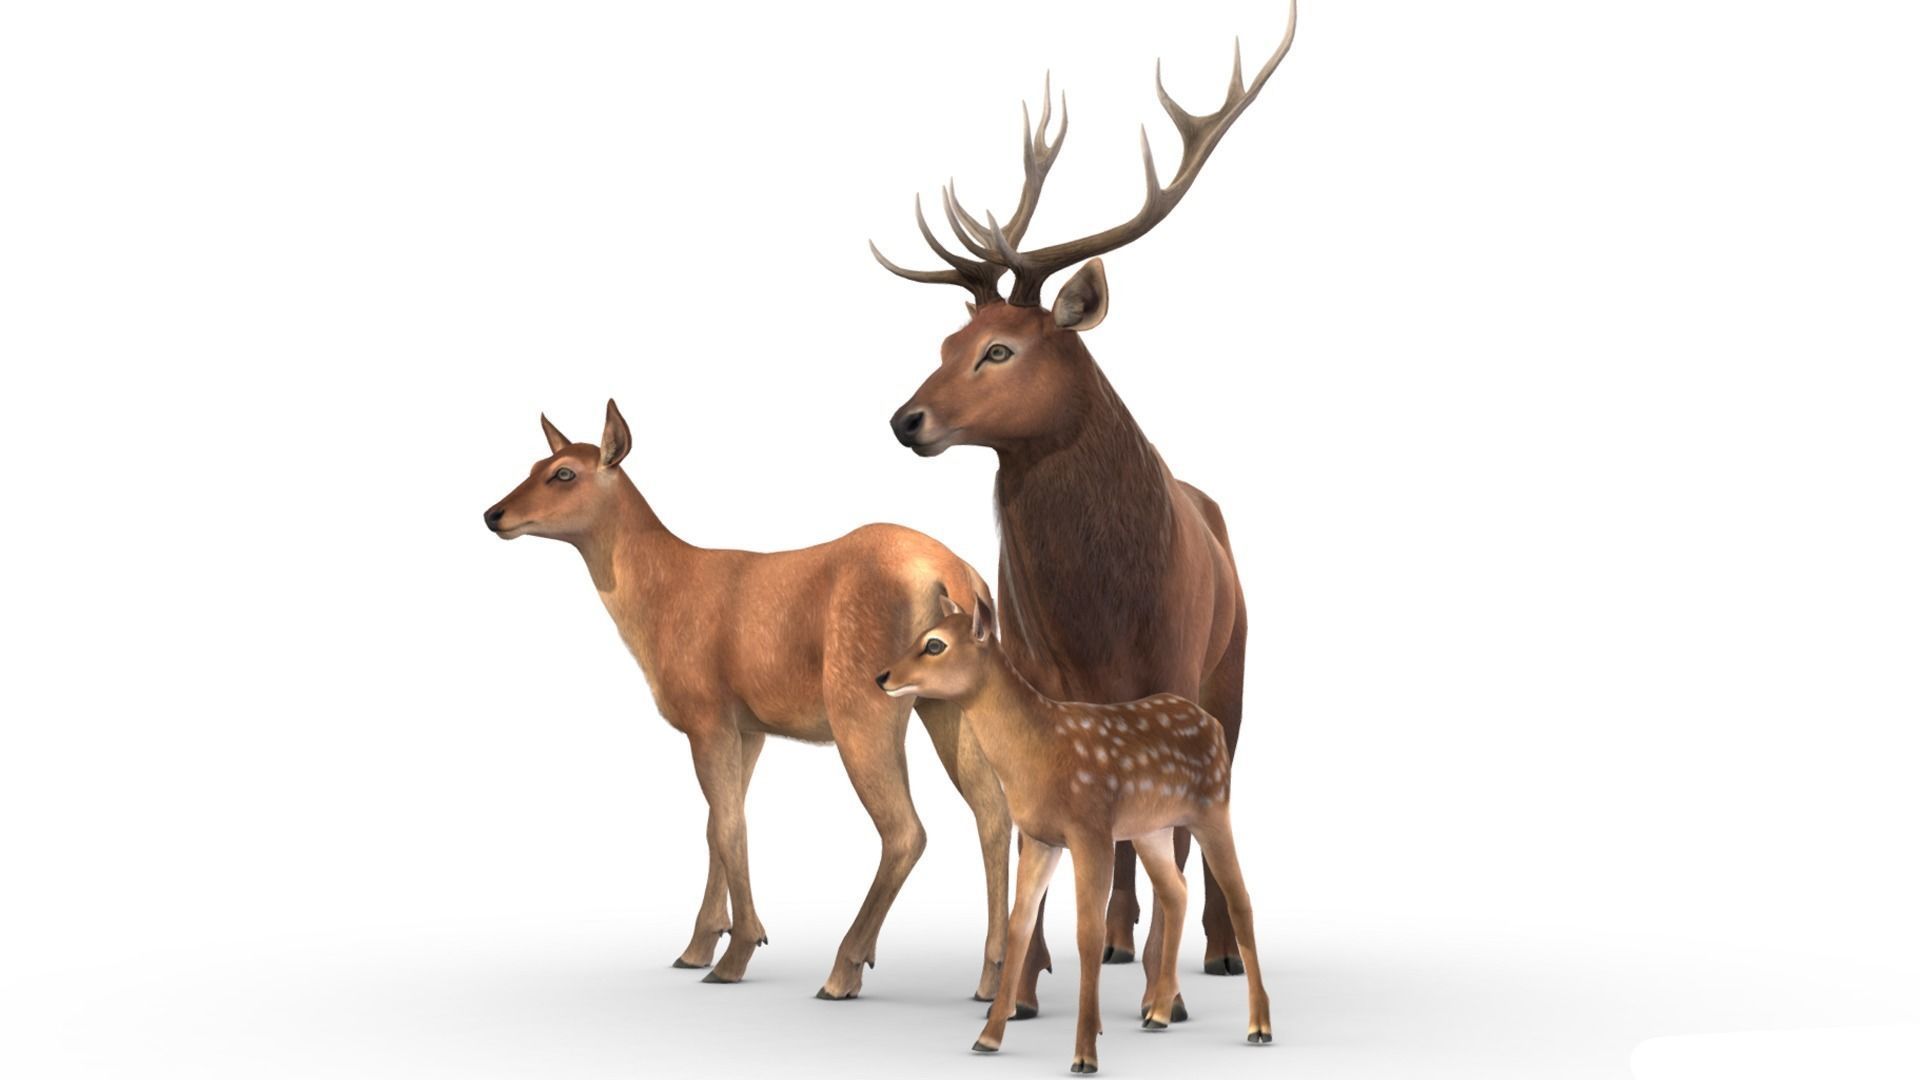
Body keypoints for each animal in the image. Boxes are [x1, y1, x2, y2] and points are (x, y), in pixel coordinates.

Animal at [482, 399, 1013, 1004]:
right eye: (535, 463)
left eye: (564, 473)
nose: (494, 514)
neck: (661, 599)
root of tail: (960, 579)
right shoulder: (749, 725)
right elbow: (722, 818)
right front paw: (697, 946)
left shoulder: (706, 715)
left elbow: (727, 826)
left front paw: (736, 952)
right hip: (944, 703)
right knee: (992, 811)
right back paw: (991, 980)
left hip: (862, 702)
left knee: (906, 830)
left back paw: (844, 971)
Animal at [871, 0, 1296, 1019]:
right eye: (945, 343)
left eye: (1002, 350)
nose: (907, 418)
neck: (1099, 607)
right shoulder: (1033, 666)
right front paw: (1023, 986)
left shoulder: (1176, 661)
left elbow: (1173, 831)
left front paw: (1168, 993)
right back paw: (1112, 938)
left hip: (1233, 667)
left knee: (1204, 812)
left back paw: (1213, 951)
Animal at [879, 594, 1271, 1074]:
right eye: (920, 633)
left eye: (934, 644)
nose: (883, 676)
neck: (1039, 750)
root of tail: (1212, 724)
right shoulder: (1041, 838)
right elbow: (1020, 923)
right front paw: (988, 1038)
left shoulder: (1091, 830)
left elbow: (1088, 933)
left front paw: (1085, 1053)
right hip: (1151, 829)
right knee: (1176, 891)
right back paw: (1159, 1014)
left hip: (1213, 808)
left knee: (1241, 899)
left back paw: (1258, 1027)